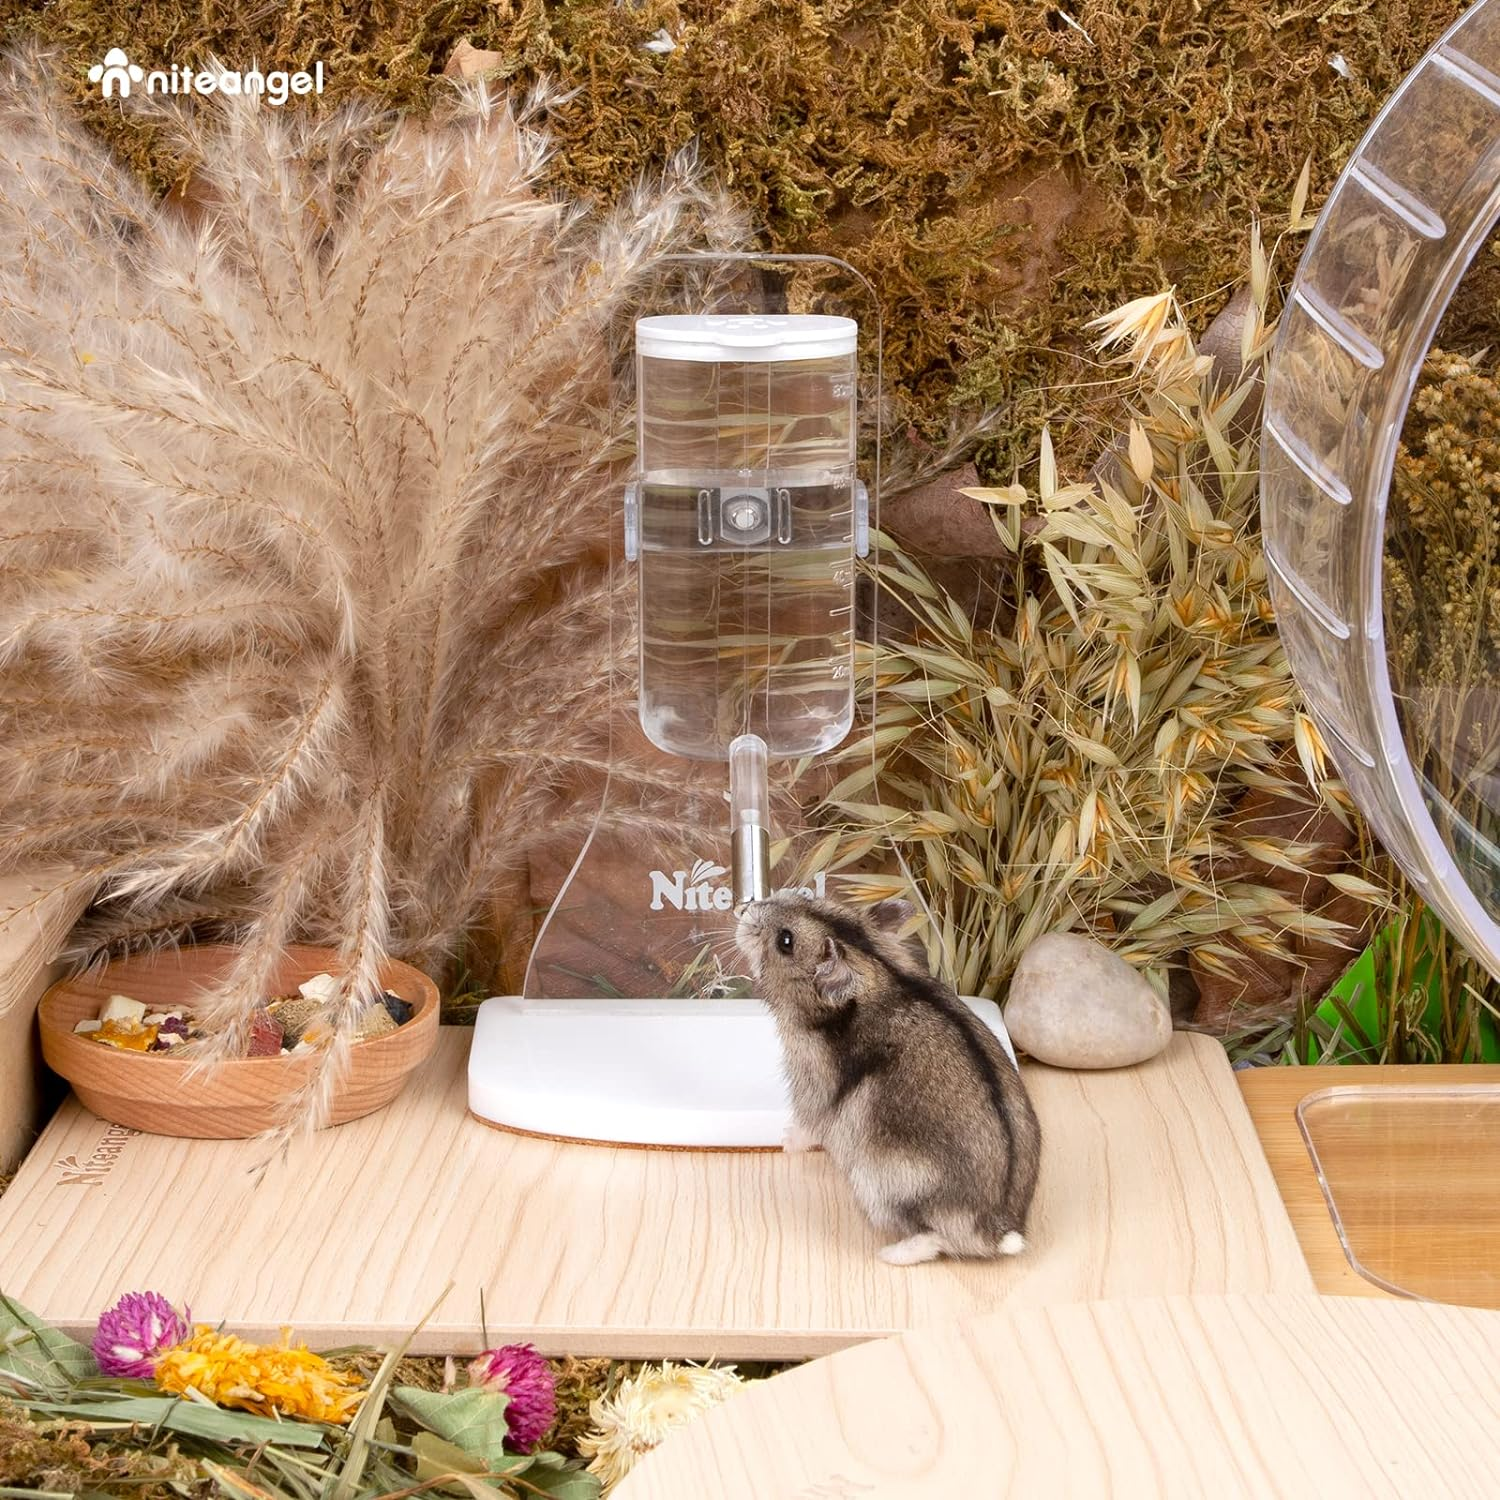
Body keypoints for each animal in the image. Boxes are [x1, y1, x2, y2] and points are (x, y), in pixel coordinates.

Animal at [736, 892, 1042, 1265]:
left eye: (786, 941)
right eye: (805, 895)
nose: (741, 908)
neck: (880, 970)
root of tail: (996, 1230)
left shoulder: (811, 1081)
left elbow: (807, 1123)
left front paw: (785, 1142)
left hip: (883, 1185)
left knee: (931, 1238)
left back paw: (889, 1254)